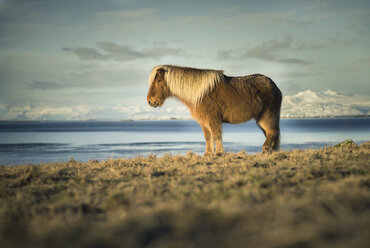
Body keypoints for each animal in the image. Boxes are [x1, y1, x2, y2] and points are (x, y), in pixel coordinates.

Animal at [146, 65, 282, 155]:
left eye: (159, 81)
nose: (150, 101)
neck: (200, 94)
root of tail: (274, 86)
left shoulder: (213, 120)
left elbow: (216, 135)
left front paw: (219, 153)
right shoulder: (204, 122)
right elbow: (208, 137)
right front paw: (208, 154)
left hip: (267, 117)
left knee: (271, 132)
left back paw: (265, 150)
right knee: (271, 133)